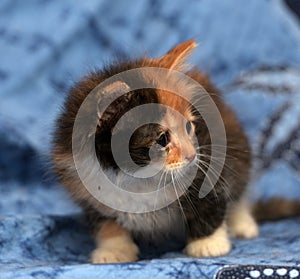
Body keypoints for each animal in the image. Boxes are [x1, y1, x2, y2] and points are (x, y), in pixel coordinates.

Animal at [51, 40, 258, 264]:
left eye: (188, 127)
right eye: (162, 139)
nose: (192, 155)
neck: (139, 178)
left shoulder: (209, 156)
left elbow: (210, 198)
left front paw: (208, 243)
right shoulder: (86, 187)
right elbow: (105, 221)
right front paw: (113, 250)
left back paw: (242, 224)